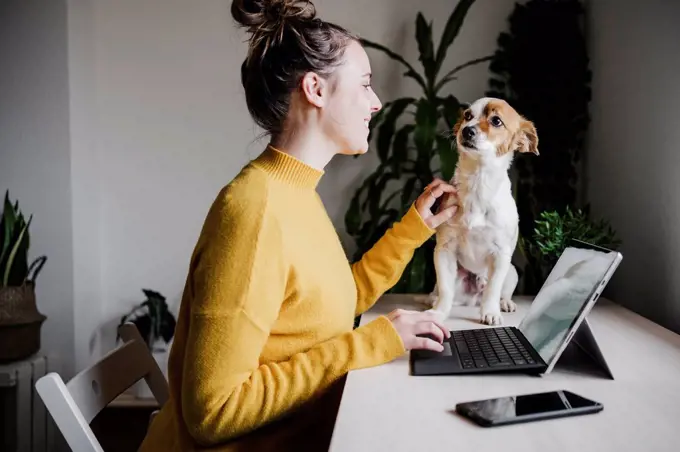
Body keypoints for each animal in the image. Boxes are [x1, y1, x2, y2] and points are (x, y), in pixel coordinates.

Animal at [424, 98, 536, 324]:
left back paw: (504, 303)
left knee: (499, 291)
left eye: (496, 121)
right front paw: (439, 313)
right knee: (444, 292)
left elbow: (492, 290)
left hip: (512, 272)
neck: (478, 182)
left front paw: (491, 312)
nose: (467, 130)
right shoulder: (444, 251)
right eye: (467, 116)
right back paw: (434, 300)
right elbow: (445, 290)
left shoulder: (501, 255)